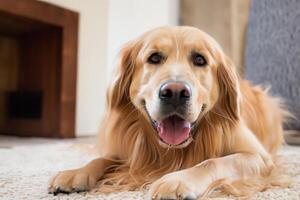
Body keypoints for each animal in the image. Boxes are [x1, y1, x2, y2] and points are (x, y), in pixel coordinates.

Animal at [48, 26, 288, 198]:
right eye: (154, 58)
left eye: (200, 59)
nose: (175, 93)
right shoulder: (125, 151)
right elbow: (102, 158)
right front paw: (75, 173)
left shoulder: (259, 157)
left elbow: (213, 161)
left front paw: (177, 180)